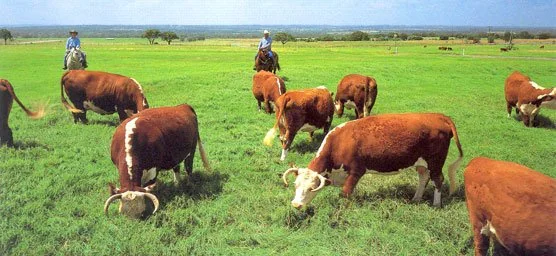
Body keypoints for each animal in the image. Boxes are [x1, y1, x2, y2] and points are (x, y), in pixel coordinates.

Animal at [280, 113, 462, 208]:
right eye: (296, 185)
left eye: (311, 188)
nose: (295, 204)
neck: (340, 142)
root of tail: (439, 116)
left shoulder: (356, 171)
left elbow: (345, 193)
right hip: (421, 163)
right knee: (423, 177)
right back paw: (416, 199)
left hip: (435, 162)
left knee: (438, 179)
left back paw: (436, 204)